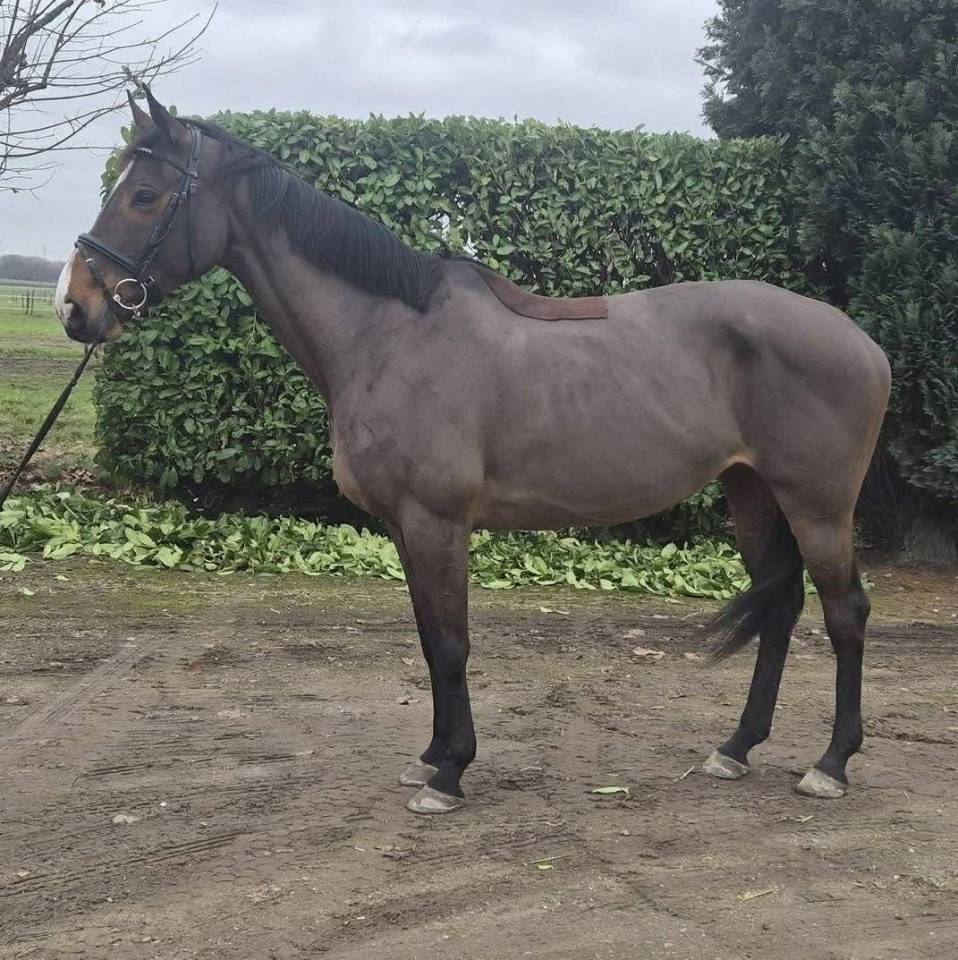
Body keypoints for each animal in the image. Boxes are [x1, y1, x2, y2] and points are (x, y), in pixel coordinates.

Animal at [56, 91, 890, 815]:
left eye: (144, 196)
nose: (75, 307)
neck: (389, 333)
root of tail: (865, 344)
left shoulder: (437, 521)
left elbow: (453, 643)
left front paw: (451, 774)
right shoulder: (403, 527)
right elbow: (430, 642)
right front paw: (430, 755)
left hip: (817, 506)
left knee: (845, 612)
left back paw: (831, 764)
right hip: (753, 494)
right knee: (782, 609)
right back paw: (736, 747)